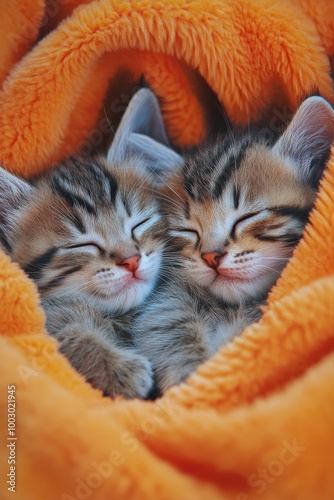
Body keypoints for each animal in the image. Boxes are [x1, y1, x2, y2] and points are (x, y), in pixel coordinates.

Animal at [0, 88, 183, 396]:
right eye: (81, 245)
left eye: (139, 223)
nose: (131, 261)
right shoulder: (49, 318)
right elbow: (63, 335)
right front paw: (117, 368)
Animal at [133, 94, 334, 390]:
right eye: (188, 230)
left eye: (247, 217)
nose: (211, 257)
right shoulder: (166, 298)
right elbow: (165, 318)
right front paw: (189, 372)